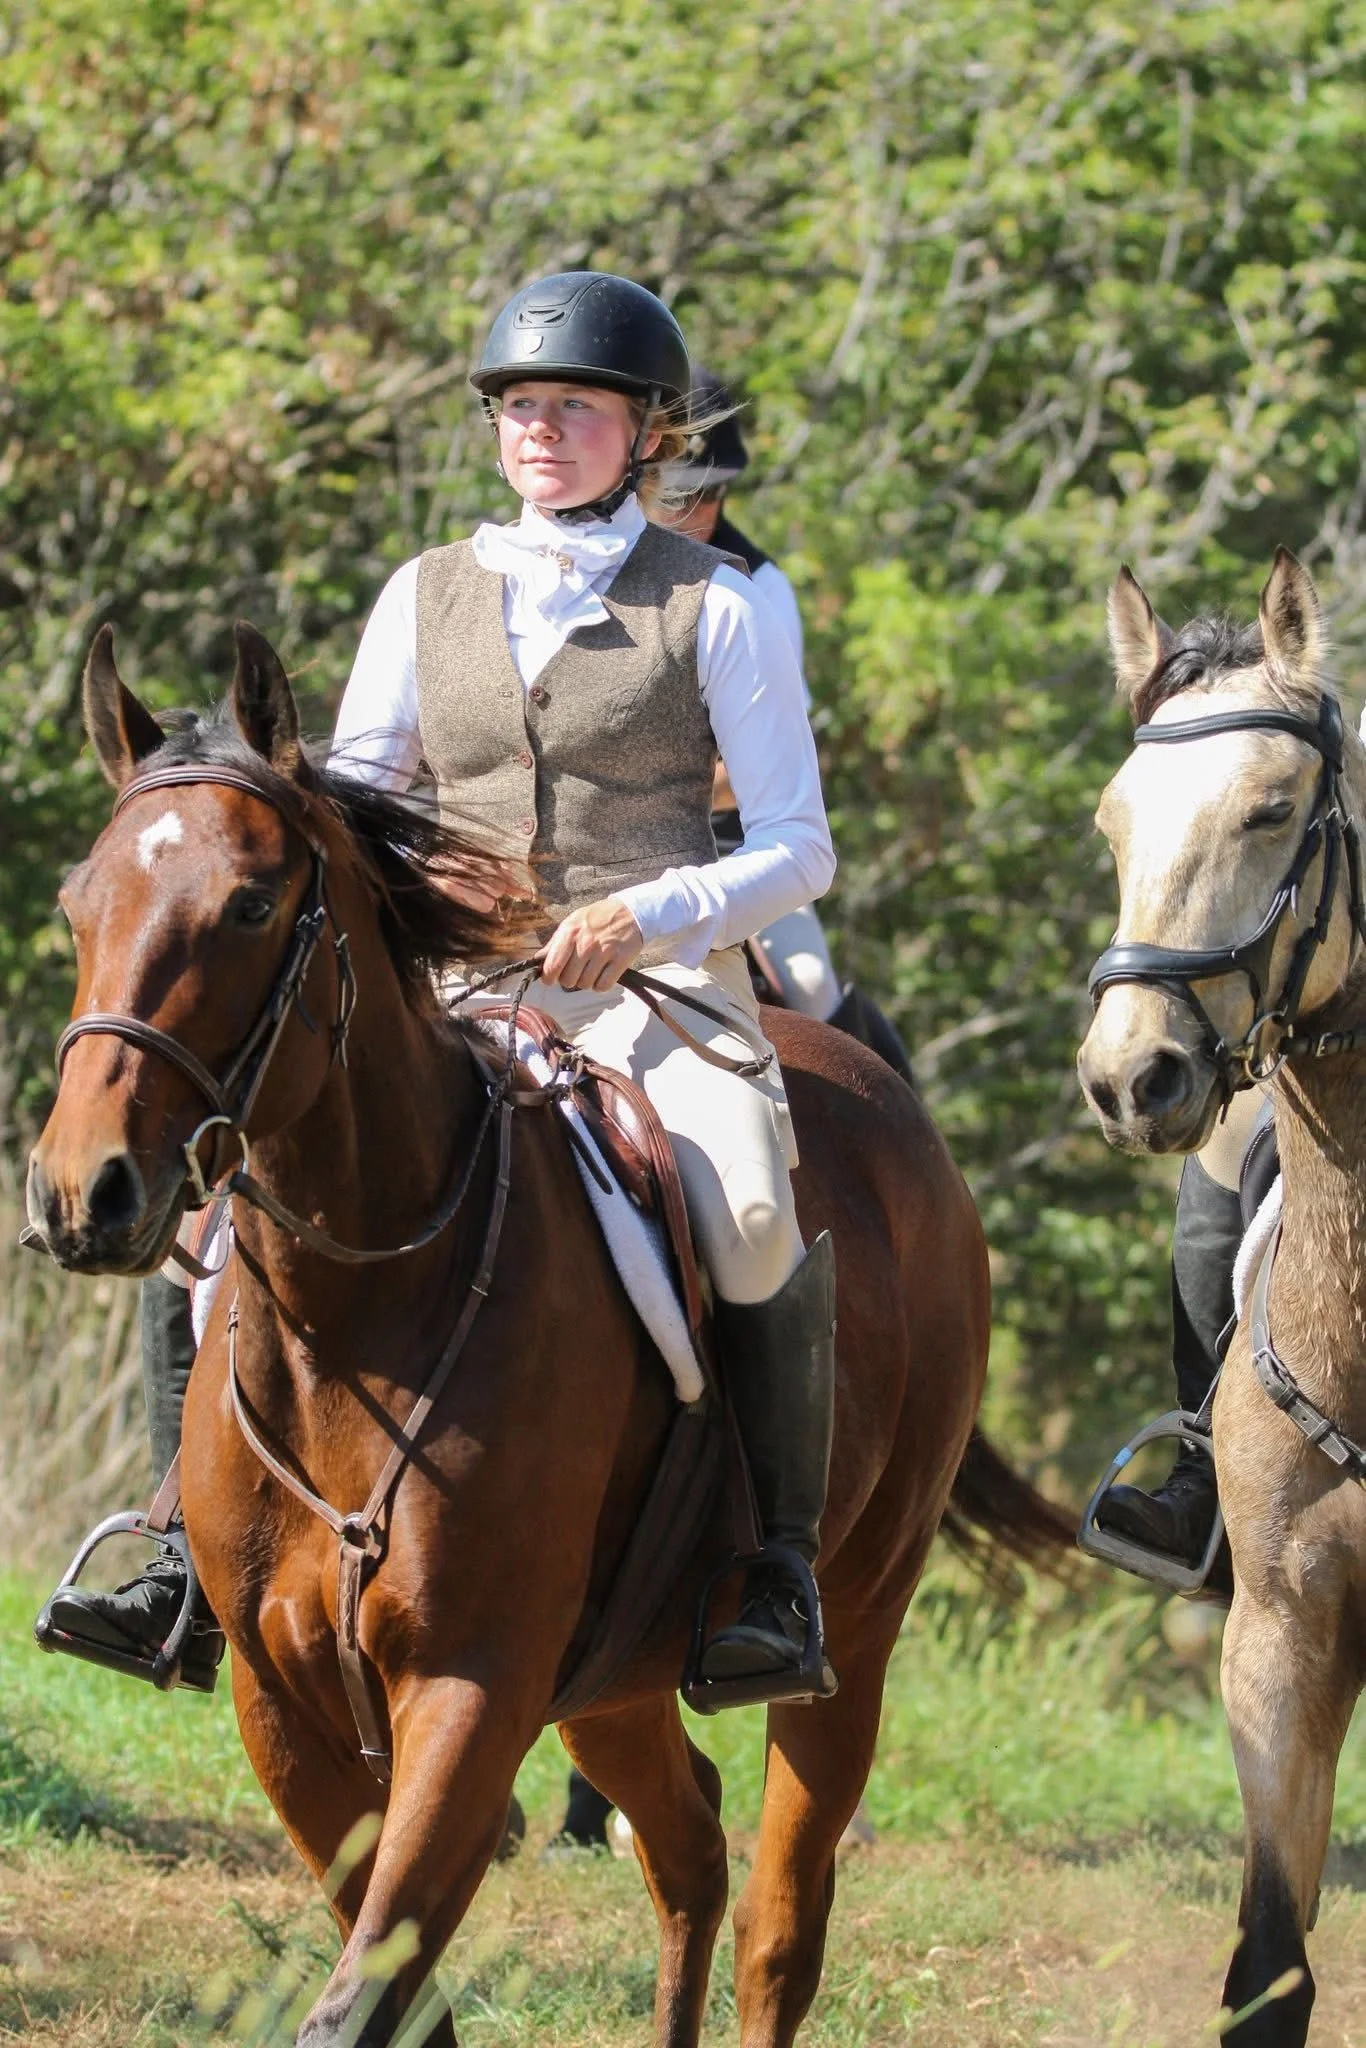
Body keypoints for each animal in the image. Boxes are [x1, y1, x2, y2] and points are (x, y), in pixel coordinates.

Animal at [29, 623, 1071, 2048]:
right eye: (79, 903)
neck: (359, 1325)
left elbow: (361, 1996)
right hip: (619, 1679)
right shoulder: (283, 1711)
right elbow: (396, 1989)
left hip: (849, 1639)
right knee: (687, 1851)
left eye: (248, 904)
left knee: (778, 1922)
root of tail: (893, 1110)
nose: (84, 1194)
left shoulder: (471, 1690)